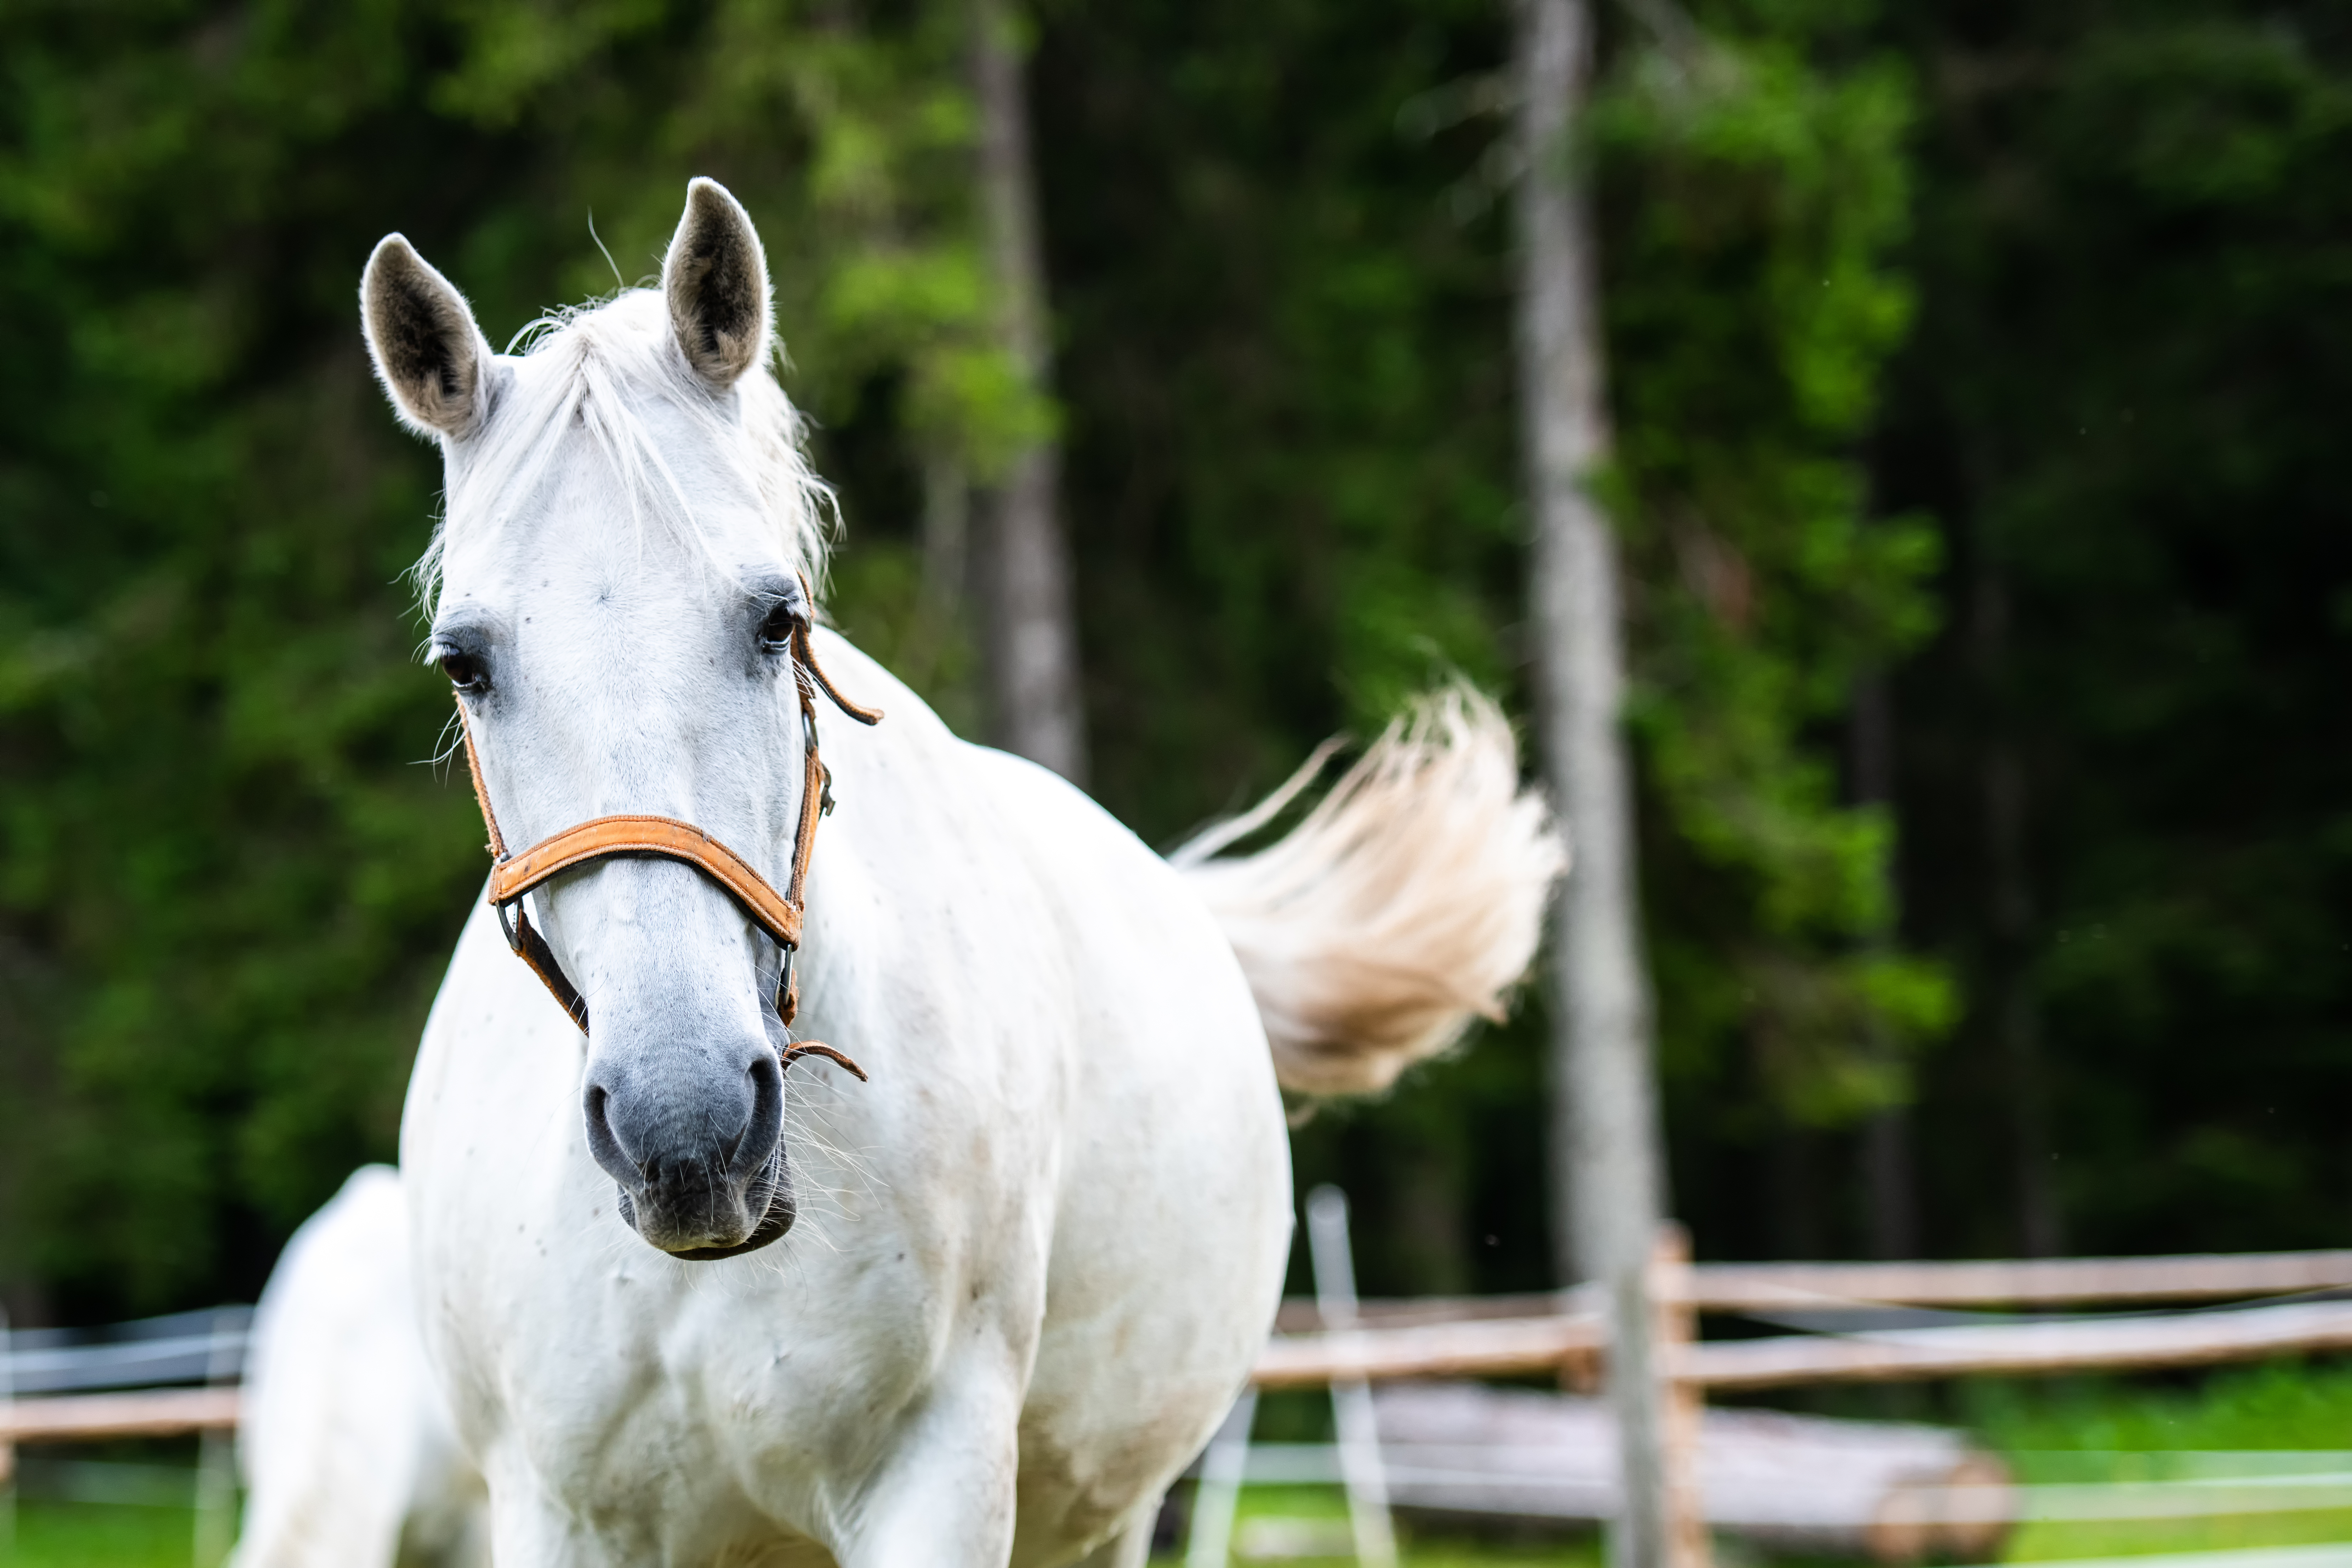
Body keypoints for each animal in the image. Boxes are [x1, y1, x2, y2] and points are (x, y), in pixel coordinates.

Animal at [234, 177, 1561, 1561]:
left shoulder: (937, 1475)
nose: (685, 1128)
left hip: (1105, 1515)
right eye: (465, 662)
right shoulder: (554, 1510)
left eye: (779, 620)